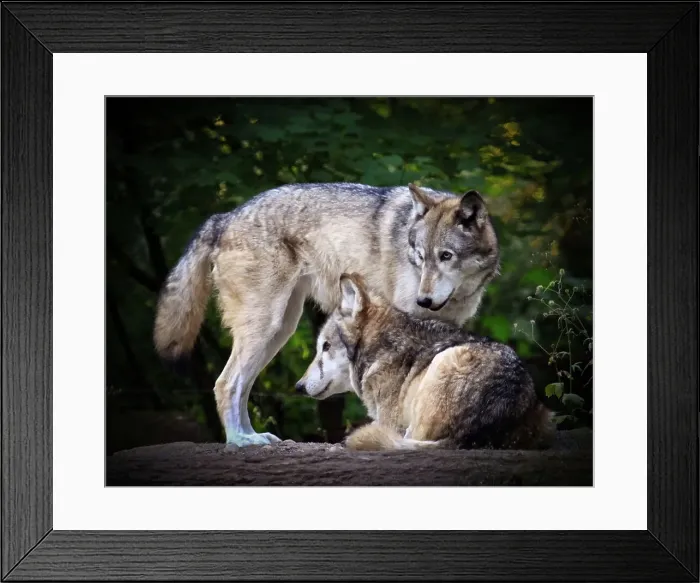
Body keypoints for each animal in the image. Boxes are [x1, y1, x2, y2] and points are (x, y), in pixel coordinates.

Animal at [153, 182, 500, 446]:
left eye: (446, 256)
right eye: (419, 256)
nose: (424, 299)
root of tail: (223, 217)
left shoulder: (447, 327)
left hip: (279, 331)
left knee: (239, 387)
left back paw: (254, 437)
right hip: (266, 327)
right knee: (225, 383)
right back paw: (241, 442)